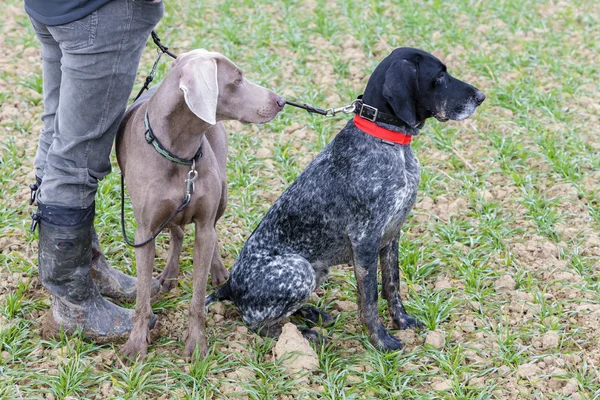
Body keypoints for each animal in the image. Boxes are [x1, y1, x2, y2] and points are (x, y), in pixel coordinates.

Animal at [209, 47, 486, 350]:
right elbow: (370, 298)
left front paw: (401, 321)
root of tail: (231, 286)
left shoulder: (392, 234)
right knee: (258, 324)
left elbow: (392, 284)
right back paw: (304, 334)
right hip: (299, 270)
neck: (389, 142)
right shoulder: (365, 239)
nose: (481, 96)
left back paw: (312, 314)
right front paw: (381, 341)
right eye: (439, 76)